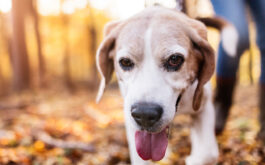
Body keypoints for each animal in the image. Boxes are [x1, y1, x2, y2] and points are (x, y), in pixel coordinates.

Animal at [96, 5, 236, 164]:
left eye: (174, 59)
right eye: (125, 62)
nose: (144, 114)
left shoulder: (203, 106)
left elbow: (208, 153)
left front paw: (194, 159)